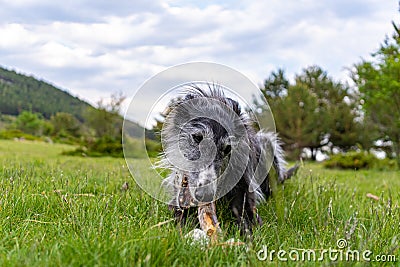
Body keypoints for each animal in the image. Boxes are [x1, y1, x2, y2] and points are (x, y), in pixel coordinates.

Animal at [161, 86, 298, 237]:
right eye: (197, 137)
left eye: (227, 148)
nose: (206, 194)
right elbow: (178, 212)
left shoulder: (244, 185)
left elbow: (247, 213)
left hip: (267, 143)